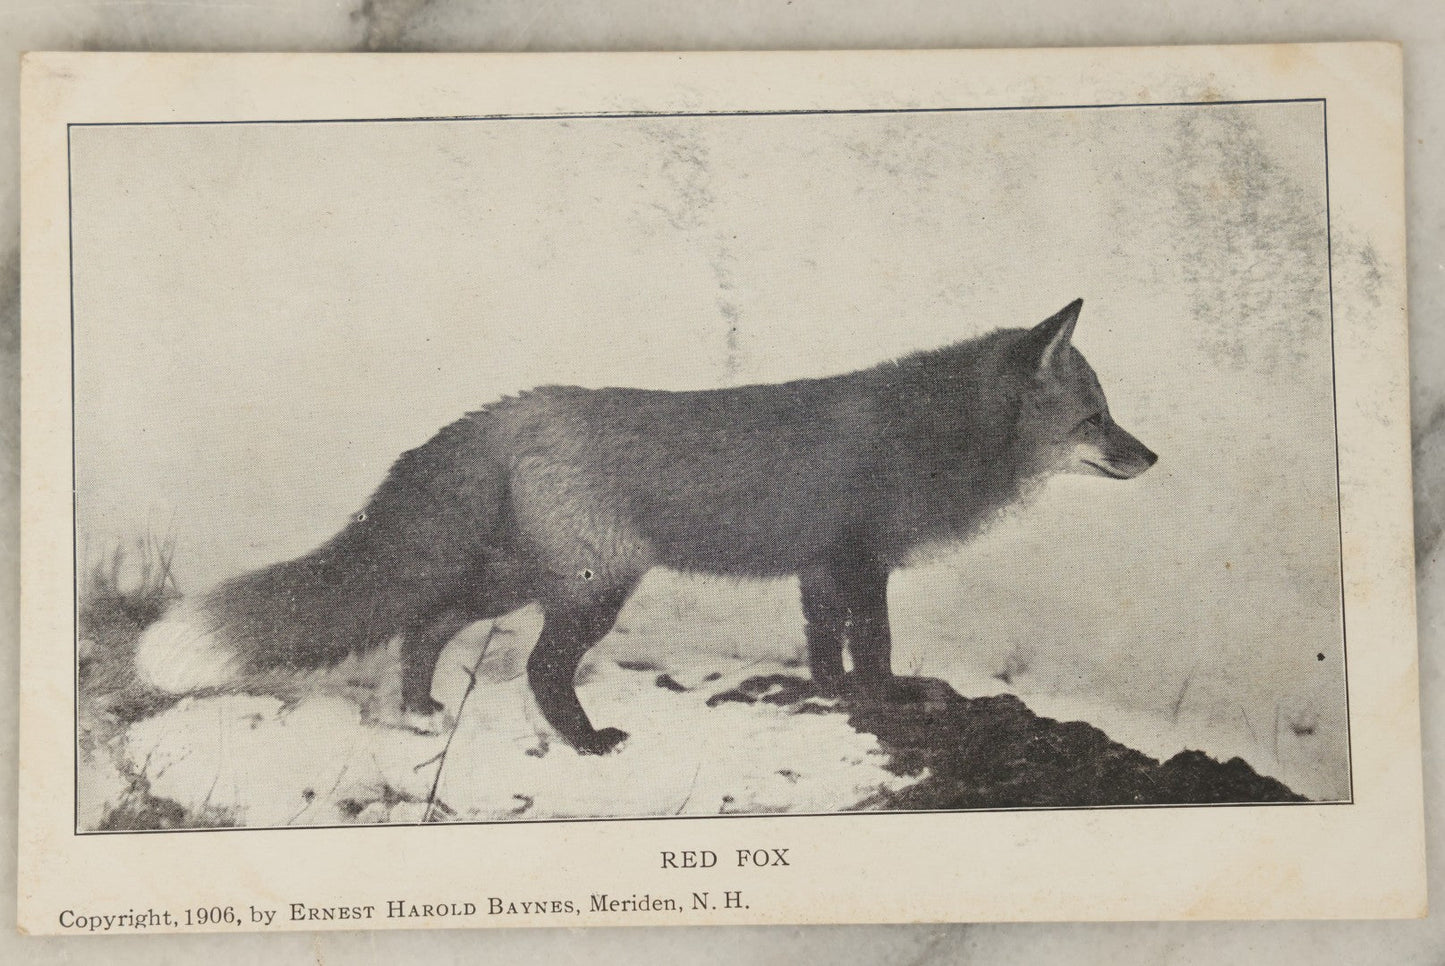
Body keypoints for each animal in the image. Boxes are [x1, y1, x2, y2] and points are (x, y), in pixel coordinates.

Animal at [134, 298, 1156, 755]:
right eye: (1095, 419)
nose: (1150, 459)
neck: (935, 437)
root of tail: (511, 408)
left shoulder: (820, 567)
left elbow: (824, 648)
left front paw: (832, 699)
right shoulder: (861, 563)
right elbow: (873, 648)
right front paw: (889, 702)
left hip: (520, 576)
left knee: (425, 623)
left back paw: (420, 708)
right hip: (592, 590)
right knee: (539, 669)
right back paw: (586, 743)